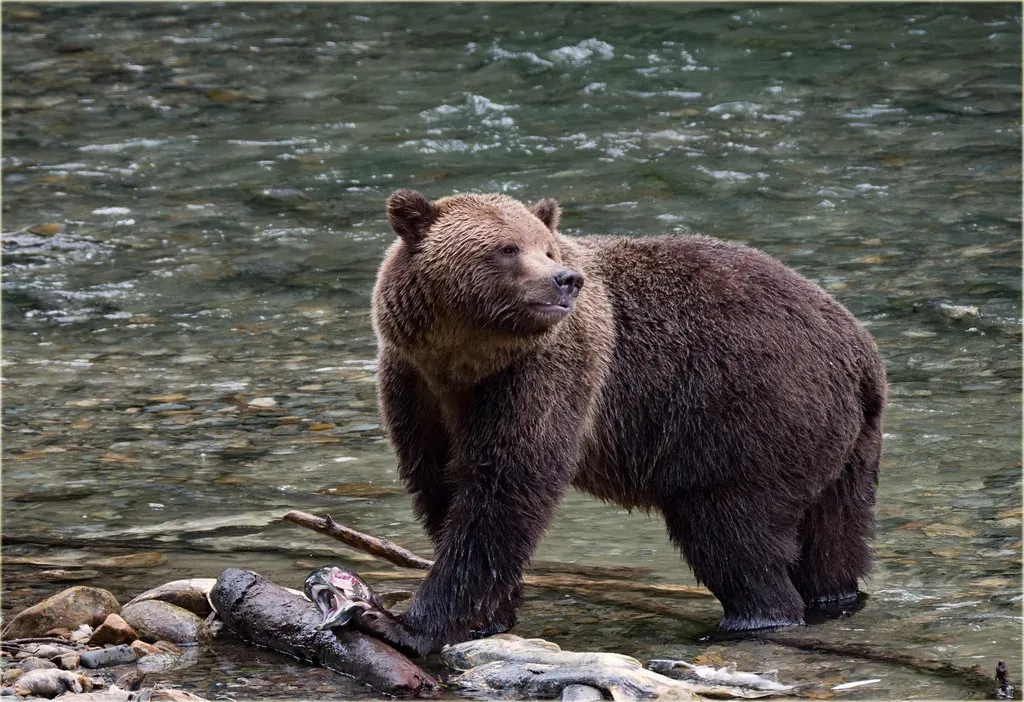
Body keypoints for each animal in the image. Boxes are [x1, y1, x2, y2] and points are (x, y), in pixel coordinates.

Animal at [359, 189, 886, 657]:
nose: (565, 279)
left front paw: (402, 623)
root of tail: (863, 354)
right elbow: (440, 485)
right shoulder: (414, 383)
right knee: (831, 540)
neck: (465, 361)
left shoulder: (546, 372)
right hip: (842, 445)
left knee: (729, 529)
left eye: (546, 248)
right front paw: (488, 616)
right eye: (507, 248)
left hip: (749, 415)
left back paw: (750, 618)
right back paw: (831, 598)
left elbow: (506, 488)